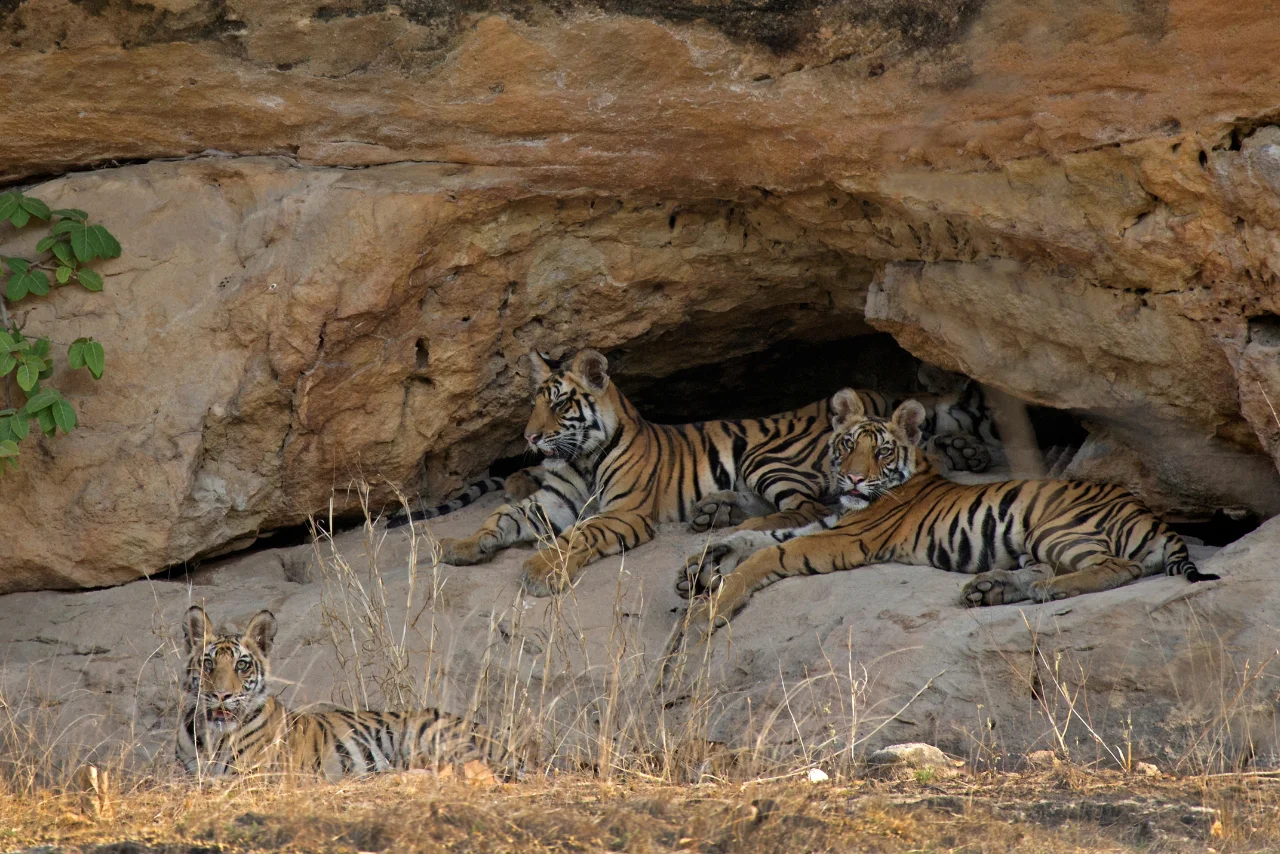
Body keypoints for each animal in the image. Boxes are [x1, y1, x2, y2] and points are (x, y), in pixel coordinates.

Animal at [176, 605, 520, 780]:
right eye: (208, 664)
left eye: (242, 665)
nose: (221, 695)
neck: (213, 736)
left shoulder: (261, 776)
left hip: (431, 736)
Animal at [403, 348, 1001, 597]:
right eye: (533, 402)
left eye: (558, 404)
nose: (529, 438)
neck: (582, 455)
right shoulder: (552, 503)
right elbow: (500, 518)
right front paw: (461, 546)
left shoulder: (624, 514)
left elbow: (579, 536)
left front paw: (540, 570)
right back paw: (713, 511)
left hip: (766, 458)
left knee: (809, 505)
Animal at [667, 388, 1220, 651]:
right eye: (847, 445)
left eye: (881, 451)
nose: (852, 479)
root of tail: (1152, 515)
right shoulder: (828, 523)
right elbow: (756, 536)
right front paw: (699, 564)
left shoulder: (843, 538)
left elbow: (769, 553)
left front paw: (717, 600)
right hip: (1037, 542)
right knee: (1044, 570)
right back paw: (990, 588)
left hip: (1058, 525)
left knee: (1116, 568)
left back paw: (1047, 591)